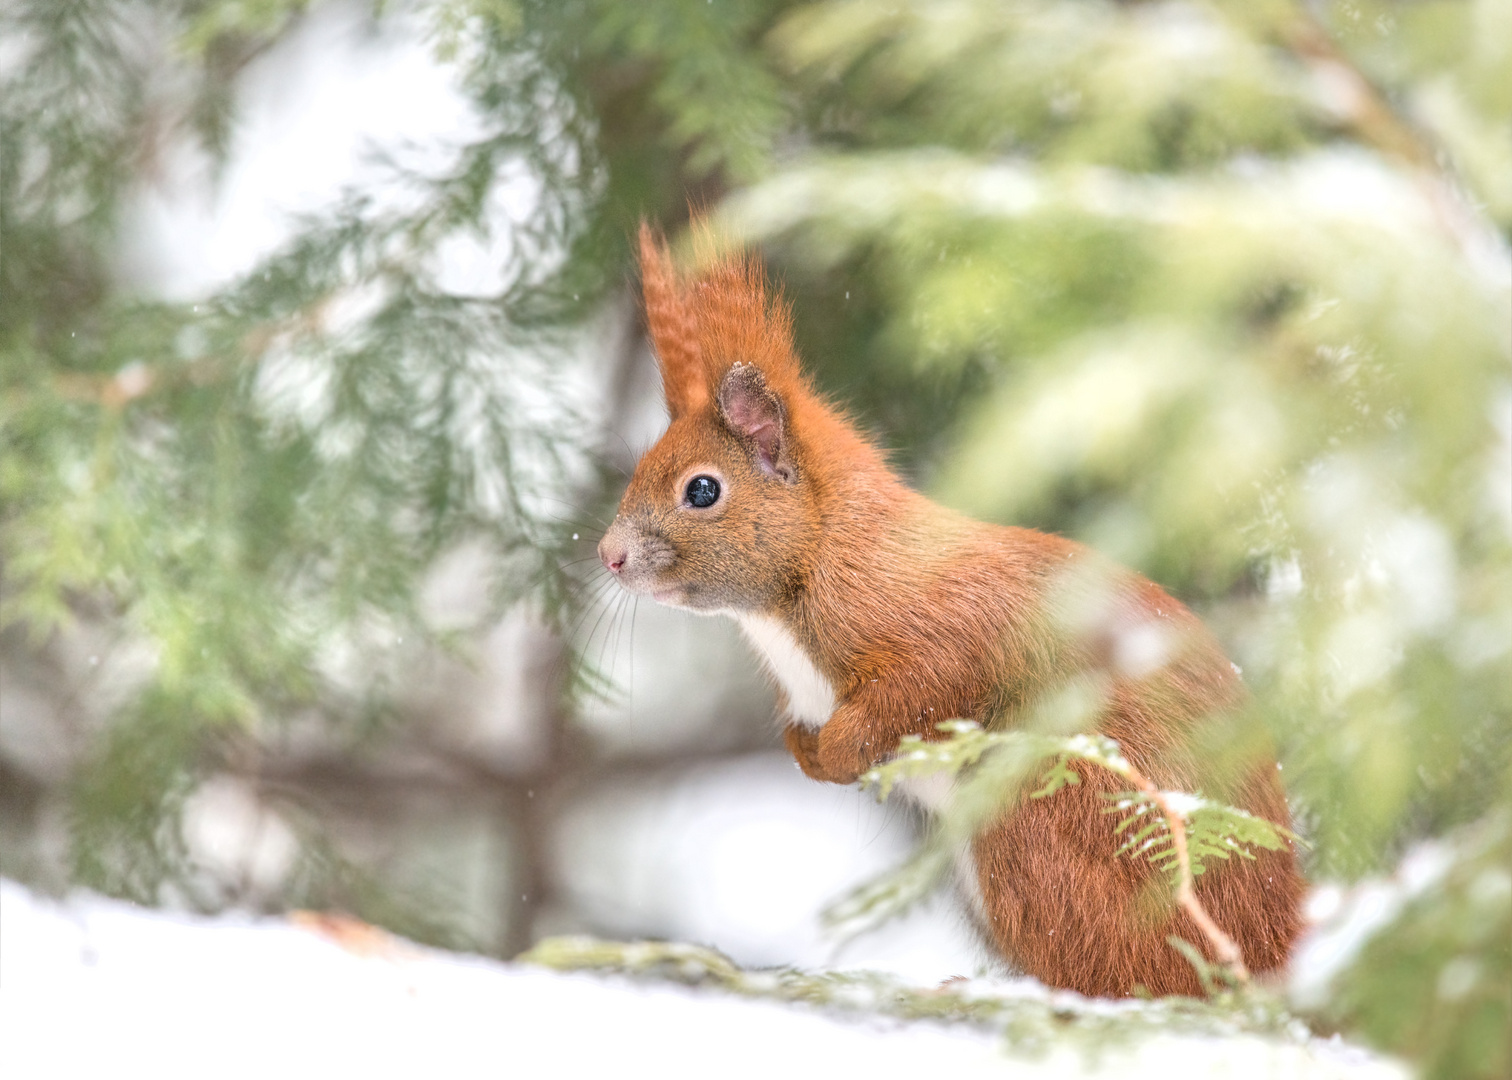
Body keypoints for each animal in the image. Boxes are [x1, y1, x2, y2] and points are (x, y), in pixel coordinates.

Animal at [595, 225, 1306, 992]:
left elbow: (922, 687)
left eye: (702, 490)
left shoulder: (934, 625)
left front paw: (838, 753)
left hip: (1036, 828)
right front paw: (807, 752)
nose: (607, 555)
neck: (817, 562)